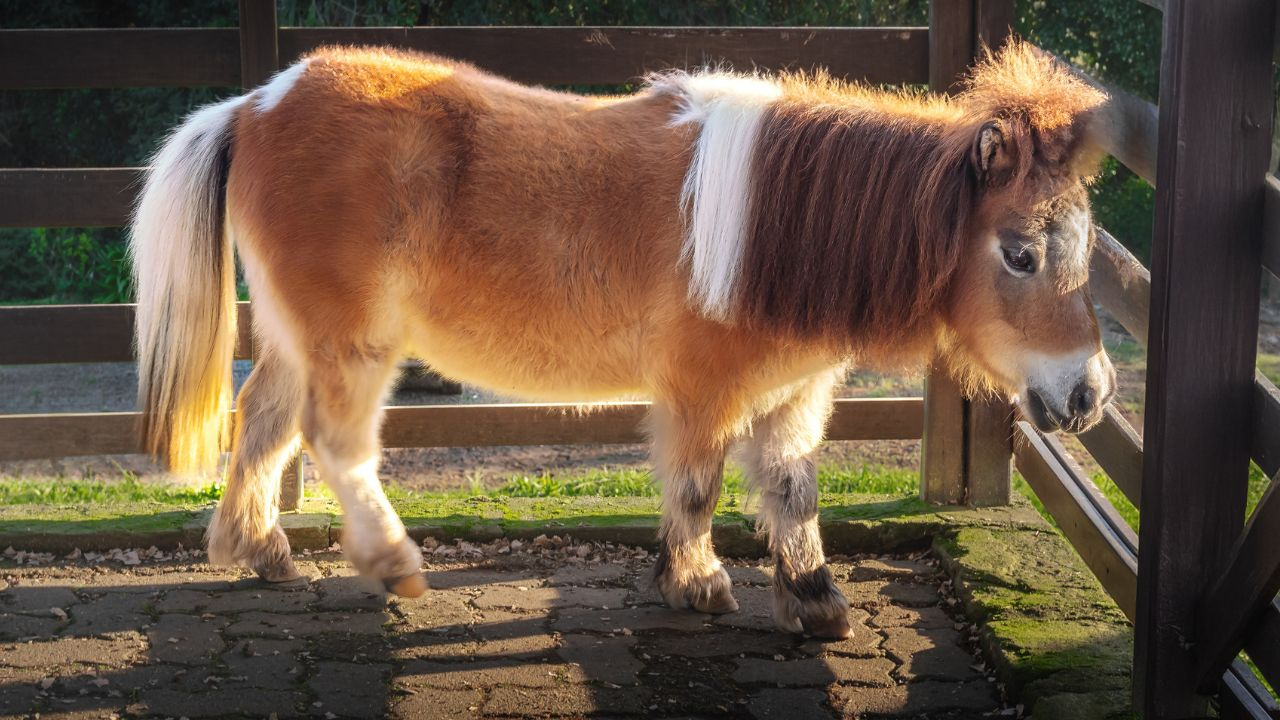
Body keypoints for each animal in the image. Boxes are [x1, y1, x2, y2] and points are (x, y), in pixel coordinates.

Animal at [130, 40, 1115, 639]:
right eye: (1021, 253)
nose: (1090, 394)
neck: (771, 224)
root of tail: (256, 102)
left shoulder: (794, 395)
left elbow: (792, 491)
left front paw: (815, 598)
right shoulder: (704, 391)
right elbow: (698, 486)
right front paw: (696, 584)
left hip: (296, 338)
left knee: (263, 423)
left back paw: (260, 552)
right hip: (353, 345)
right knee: (334, 443)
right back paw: (392, 563)